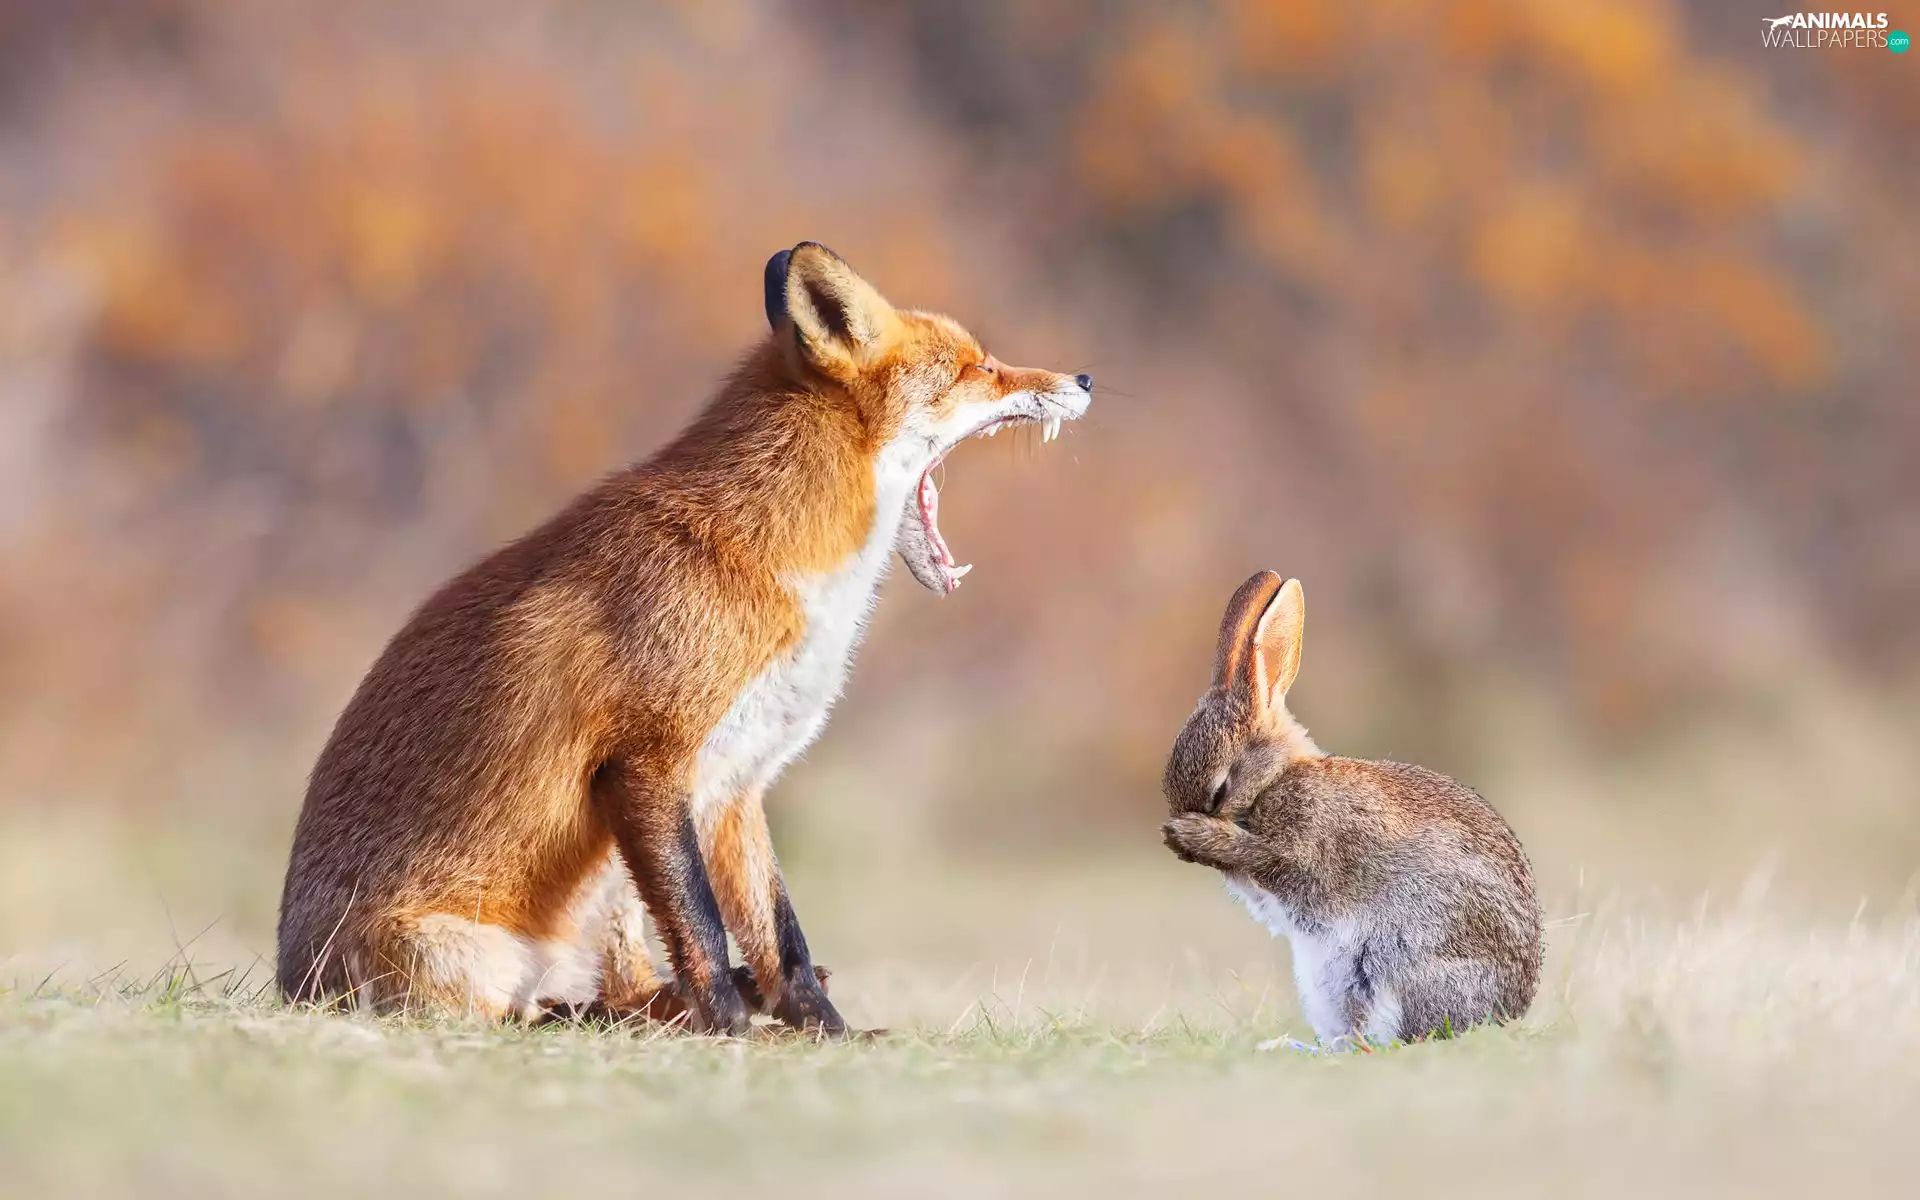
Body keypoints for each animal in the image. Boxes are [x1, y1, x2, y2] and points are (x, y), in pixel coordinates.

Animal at [275, 242, 1093, 1034]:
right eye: (978, 367)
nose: (1084, 377)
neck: (775, 562)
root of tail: (291, 983)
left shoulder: (735, 783)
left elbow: (781, 938)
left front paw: (825, 1032)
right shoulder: (647, 762)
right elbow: (701, 925)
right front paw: (730, 1028)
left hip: (608, 884)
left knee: (624, 987)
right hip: (481, 950)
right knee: (525, 1011)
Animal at [1161, 571, 1543, 1048]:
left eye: (1219, 792)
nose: (1179, 844)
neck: (1274, 779)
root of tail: (1507, 1012)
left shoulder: (1305, 847)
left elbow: (1270, 859)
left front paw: (1195, 835)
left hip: (1398, 960)